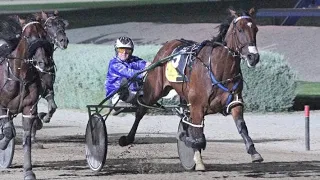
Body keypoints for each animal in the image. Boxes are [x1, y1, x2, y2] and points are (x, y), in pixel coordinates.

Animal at [0, 16, 52, 179]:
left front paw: (28, 171)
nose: (43, 62)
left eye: (44, 35)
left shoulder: (29, 109)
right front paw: (2, 144)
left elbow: (26, 139)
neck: (20, 77)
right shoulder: (1, 106)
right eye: (27, 36)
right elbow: (8, 131)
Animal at [119, 8, 264, 170]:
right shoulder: (197, 106)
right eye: (239, 29)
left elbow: (241, 126)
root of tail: (168, 45)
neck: (218, 68)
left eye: (255, 29)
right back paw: (128, 138)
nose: (253, 57)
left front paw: (254, 152)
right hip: (154, 90)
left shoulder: (235, 102)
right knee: (140, 110)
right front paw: (196, 156)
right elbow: (197, 134)